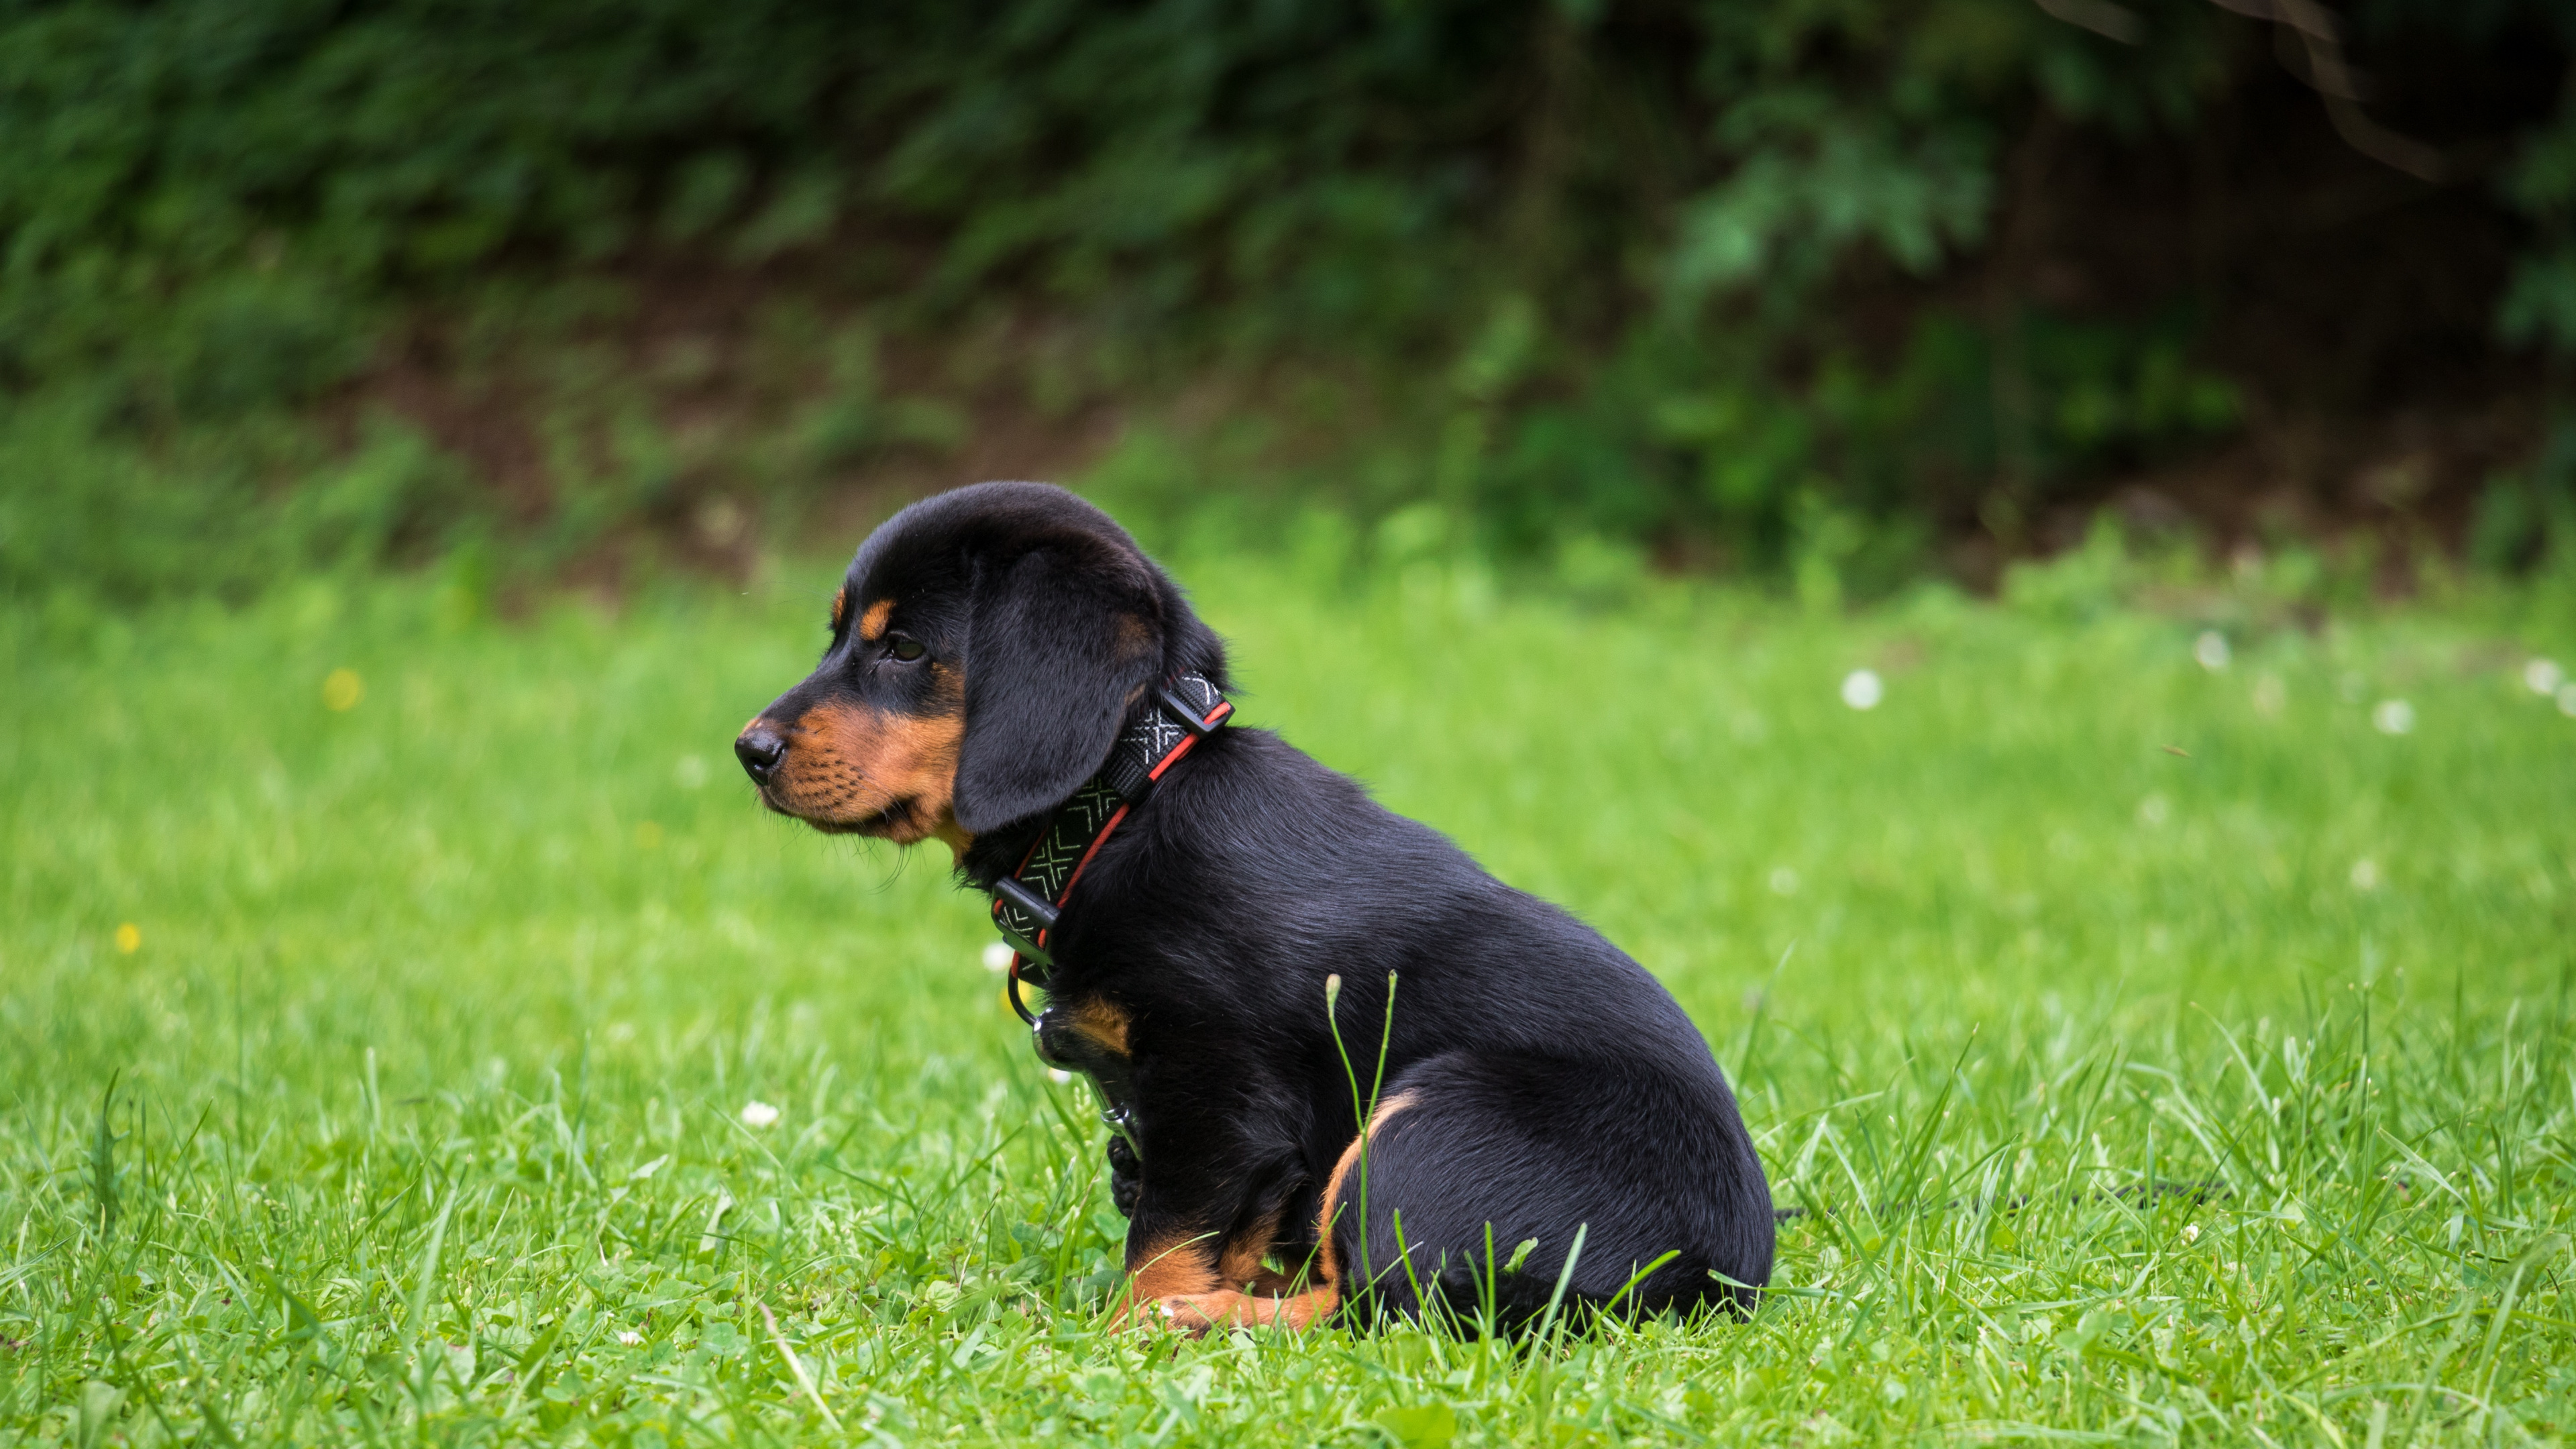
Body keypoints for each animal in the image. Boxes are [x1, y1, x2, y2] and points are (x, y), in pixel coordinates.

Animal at [726, 479, 1772, 1330]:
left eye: (903, 648)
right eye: (839, 633)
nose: (748, 750)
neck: (1127, 803)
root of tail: (1719, 1280)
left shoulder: (1216, 1091)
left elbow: (1163, 1242)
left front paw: (1132, 1328)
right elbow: (1215, 1229)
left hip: (1429, 1119)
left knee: (1380, 1304)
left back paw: (1204, 1320)